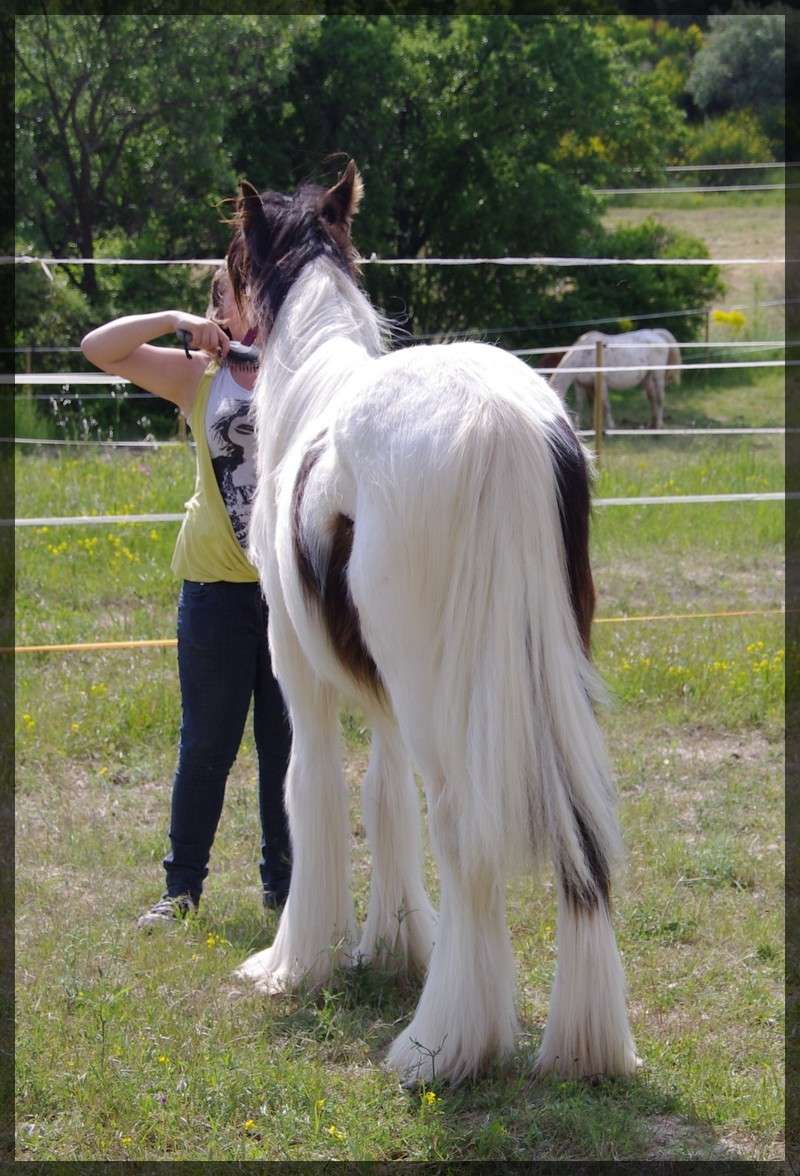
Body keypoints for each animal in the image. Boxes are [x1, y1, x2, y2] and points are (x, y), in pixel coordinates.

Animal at [227, 161, 635, 1086]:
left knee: (463, 834)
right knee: (581, 839)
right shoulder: (384, 699)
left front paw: (292, 963)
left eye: (232, 257)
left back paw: (439, 1044)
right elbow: (385, 798)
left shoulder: (301, 681)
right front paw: (397, 945)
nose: (218, 328)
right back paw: (583, 1044)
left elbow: (311, 791)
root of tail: (501, 422)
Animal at [550, 329, 682, 430]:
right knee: (652, 398)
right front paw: (588, 426)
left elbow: (605, 404)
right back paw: (651, 425)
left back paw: (659, 425)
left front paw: (610, 427)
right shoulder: (582, 385)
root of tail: (656, 334)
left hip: (657, 375)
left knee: (660, 398)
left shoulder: (601, 383)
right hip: (647, 378)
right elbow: (583, 405)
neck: (584, 354)